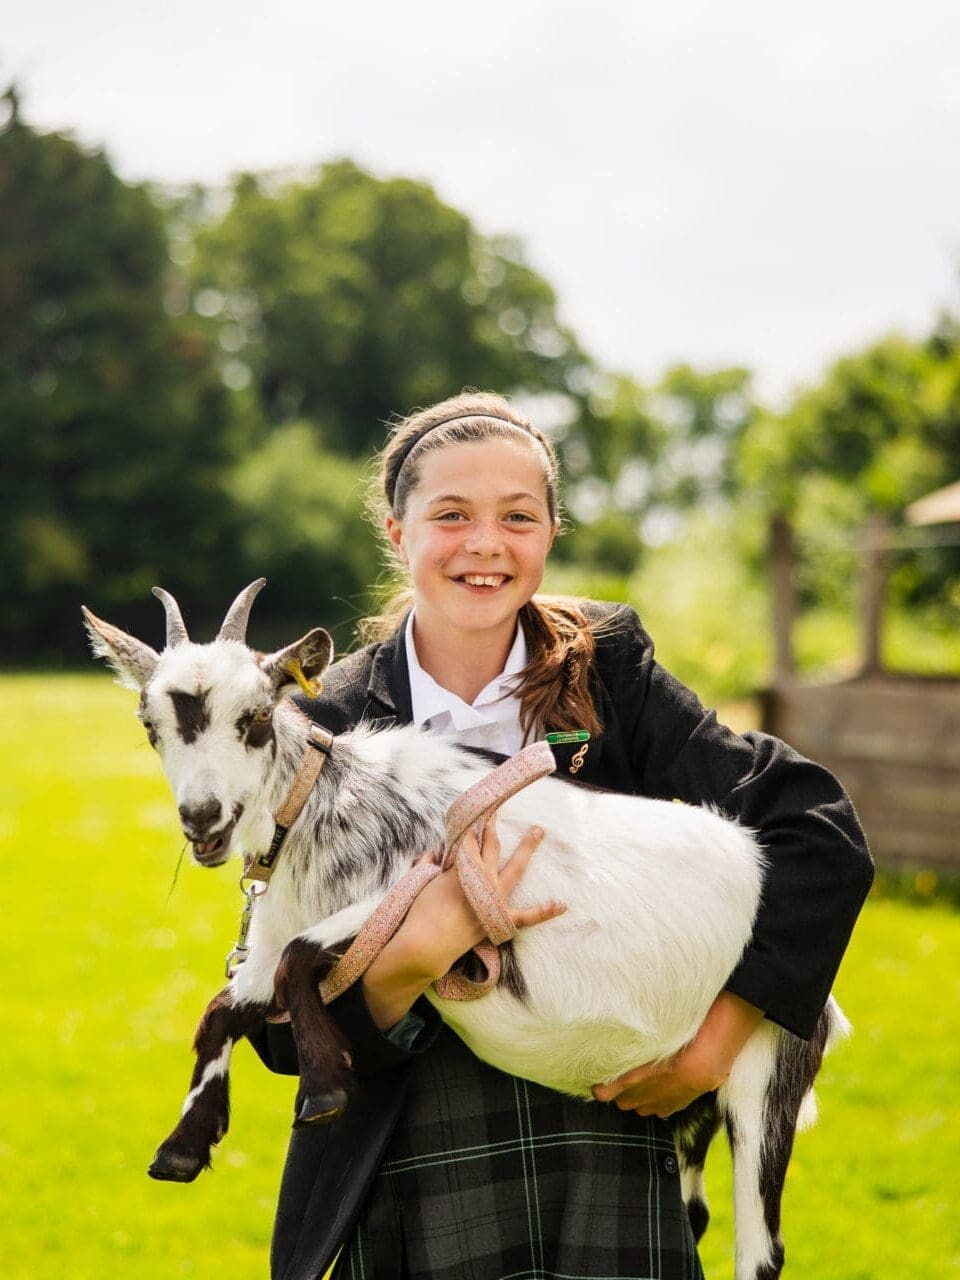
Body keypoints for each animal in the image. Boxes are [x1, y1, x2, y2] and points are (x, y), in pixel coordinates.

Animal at [84, 583, 849, 1280]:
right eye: (150, 726)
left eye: (254, 717)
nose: (203, 820)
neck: (327, 805)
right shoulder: (274, 945)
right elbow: (221, 1010)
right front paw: (186, 1143)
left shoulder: (411, 895)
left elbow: (301, 959)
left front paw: (325, 1088)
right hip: (693, 1108)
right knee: (693, 1213)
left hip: (765, 1076)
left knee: (762, 1251)